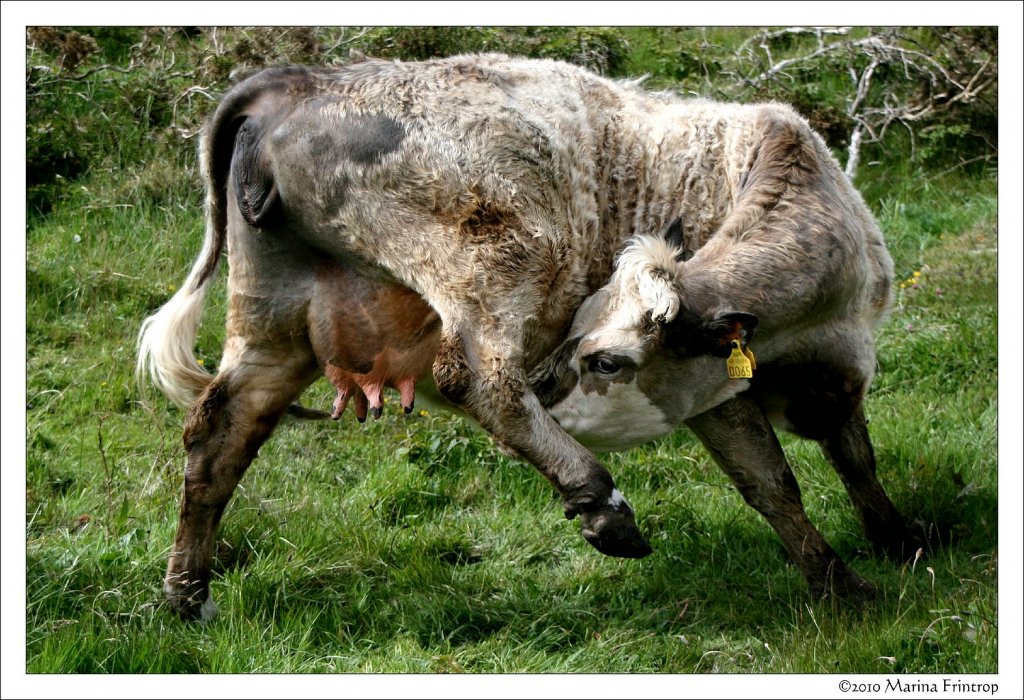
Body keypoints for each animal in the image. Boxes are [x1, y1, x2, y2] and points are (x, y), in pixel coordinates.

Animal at [138, 54, 921, 622]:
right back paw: (599, 500)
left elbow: (856, 456)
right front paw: (842, 586)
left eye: (602, 355)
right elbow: (772, 481)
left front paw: (899, 538)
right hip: (500, 263)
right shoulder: (719, 391)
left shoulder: (840, 373)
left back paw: (188, 595)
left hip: (273, 323)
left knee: (220, 430)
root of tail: (297, 81)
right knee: (476, 377)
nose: (551, 380)